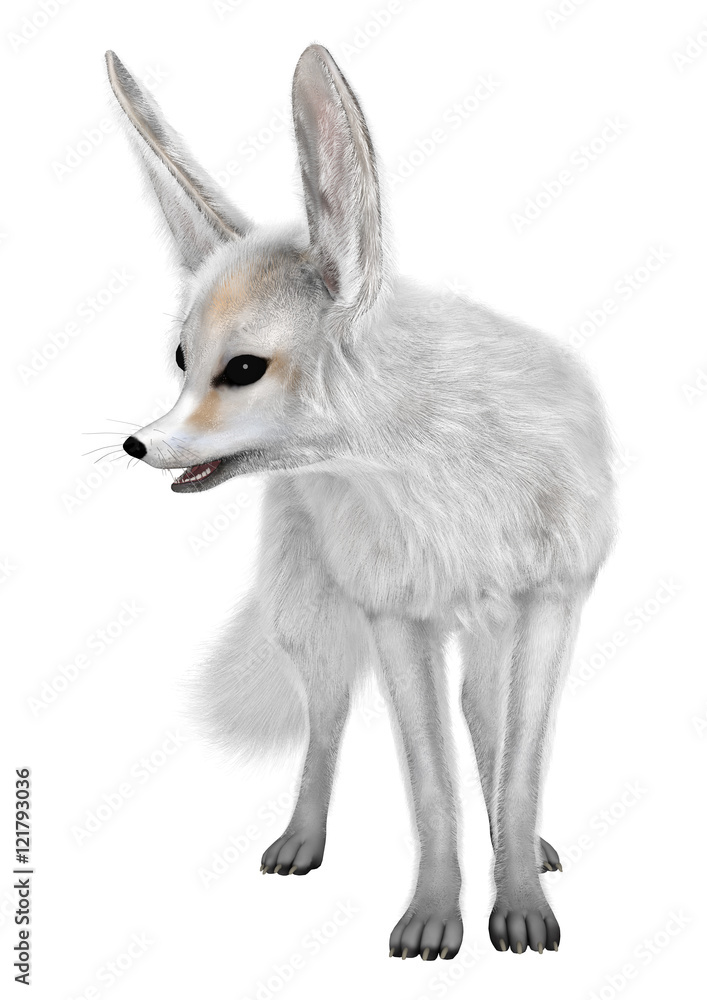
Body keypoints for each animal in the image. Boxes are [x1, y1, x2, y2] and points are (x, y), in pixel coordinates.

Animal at [105, 44, 616, 960]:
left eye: (241, 369)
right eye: (181, 361)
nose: (137, 445)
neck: (439, 471)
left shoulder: (553, 601)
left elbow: (518, 766)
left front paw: (519, 898)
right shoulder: (394, 619)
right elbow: (429, 790)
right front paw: (434, 915)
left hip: (487, 631)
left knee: (482, 716)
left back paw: (526, 845)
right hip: (320, 623)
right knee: (330, 717)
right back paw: (303, 838)